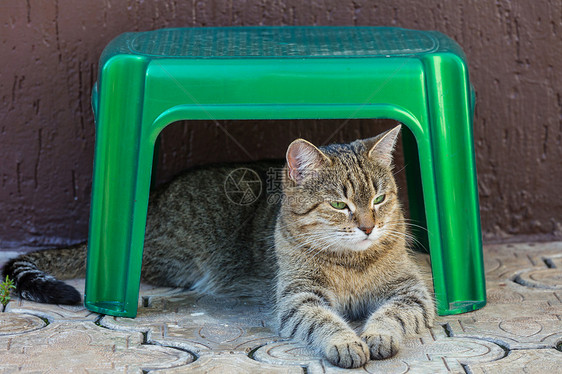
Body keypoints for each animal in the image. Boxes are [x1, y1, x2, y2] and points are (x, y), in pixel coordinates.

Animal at [3, 126, 434, 368]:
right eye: (338, 205)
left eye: (379, 199)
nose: (369, 226)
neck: (351, 262)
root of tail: (155, 199)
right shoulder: (297, 298)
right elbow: (322, 320)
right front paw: (345, 342)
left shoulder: (411, 291)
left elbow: (393, 314)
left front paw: (378, 335)